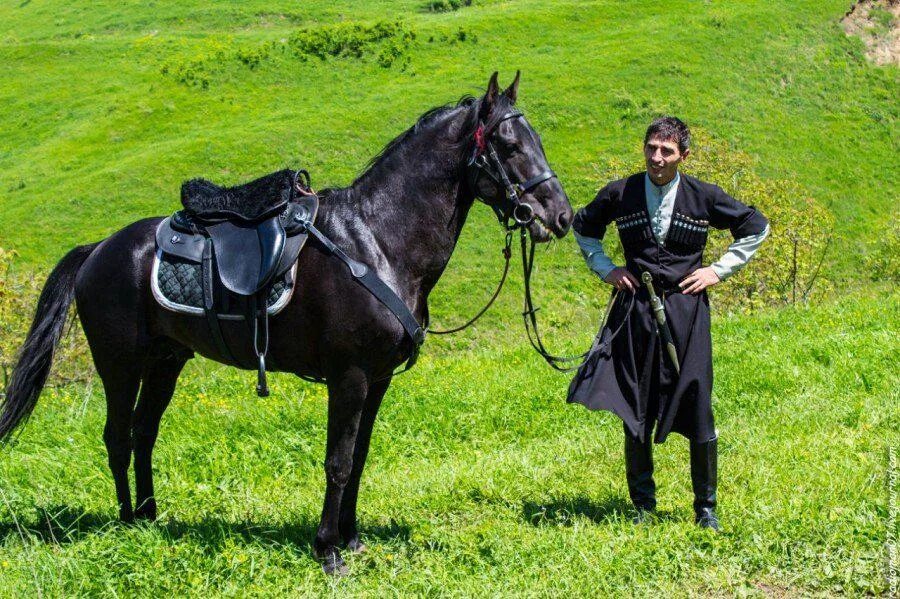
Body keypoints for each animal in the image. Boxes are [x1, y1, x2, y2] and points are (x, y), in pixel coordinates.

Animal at [0, 72, 572, 576]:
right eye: (508, 144)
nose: (562, 217)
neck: (376, 241)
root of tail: (99, 248)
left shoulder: (378, 380)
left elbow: (359, 456)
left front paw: (352, 538)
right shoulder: (350, 376)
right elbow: (338, 461)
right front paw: (328, 551)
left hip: (166, 362)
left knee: (144, 433)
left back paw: (149, 518)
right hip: (120, 365)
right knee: (118, 437)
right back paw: (124, 522)